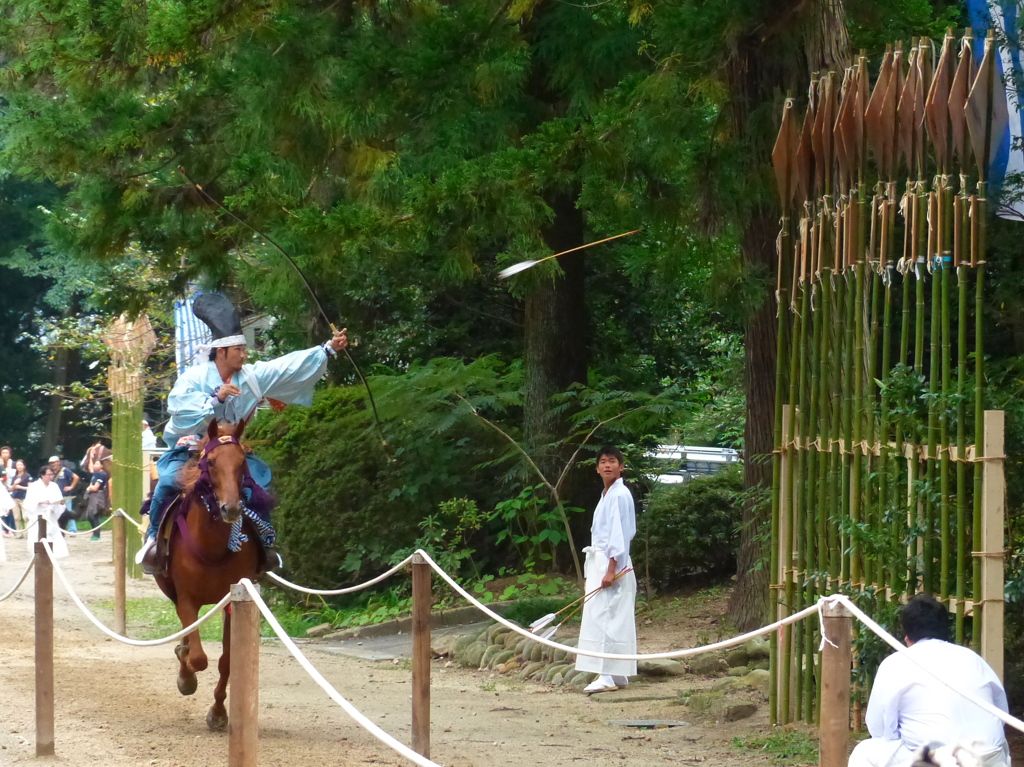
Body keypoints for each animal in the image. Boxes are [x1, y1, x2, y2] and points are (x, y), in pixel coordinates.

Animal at [152, 419, 268, 729]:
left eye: (242, 462)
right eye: (212, 462)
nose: (232, 508)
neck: (212, 549)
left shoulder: (233, 599)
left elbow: (226, 661)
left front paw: (218, 712)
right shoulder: (187, 599)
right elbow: (199, 657)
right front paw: (186, 677)